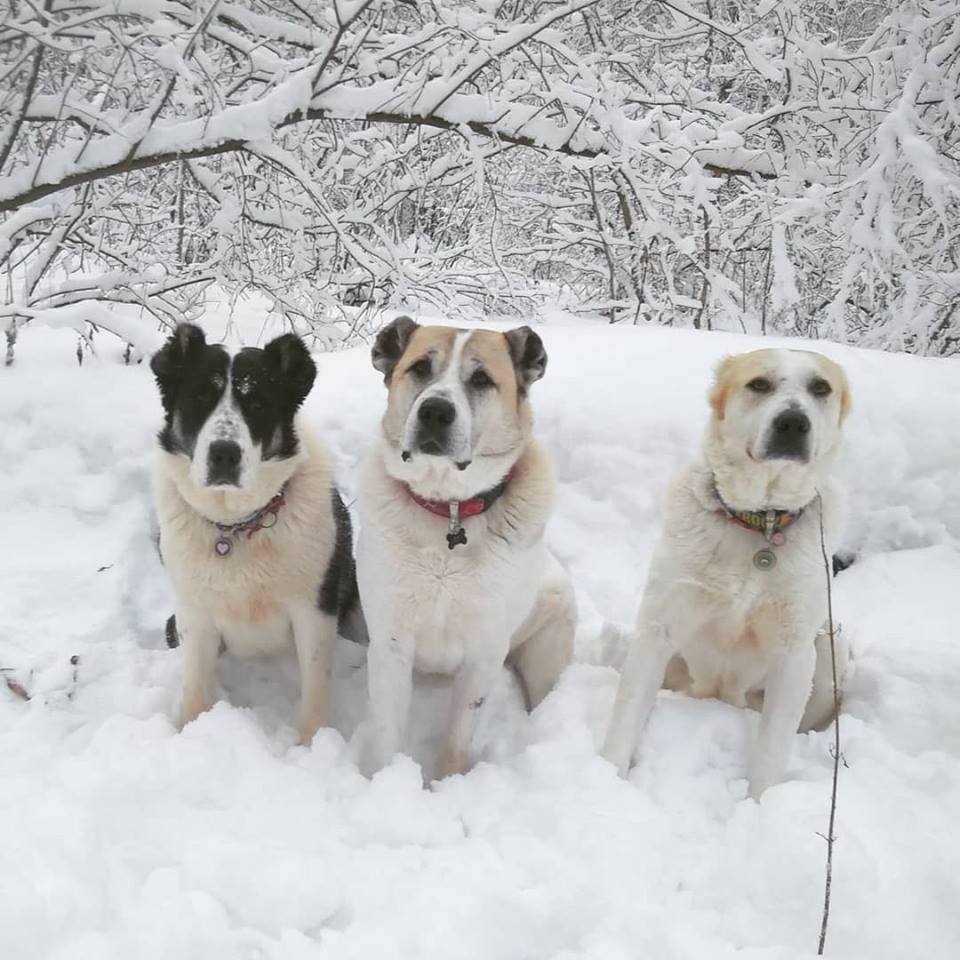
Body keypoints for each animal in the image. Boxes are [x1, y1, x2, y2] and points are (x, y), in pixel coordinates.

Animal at [150, 322, 360, 744]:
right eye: (200, 397)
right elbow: (194, 686)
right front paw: (189, 733)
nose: (224, 453)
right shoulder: (193, 614)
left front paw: (312, 748)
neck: (237, 525)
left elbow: (315, 691)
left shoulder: (314, 612)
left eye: (258, 403)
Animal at [354, 316, 572, 780]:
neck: (449, 509)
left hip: (547, 645)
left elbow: (458, 738)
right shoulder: (391, 643)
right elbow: (386, 733)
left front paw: (447, 783)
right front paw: (383, 781)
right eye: (420, 368)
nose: (435, 411)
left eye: (482, 379)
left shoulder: (483, 653)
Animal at [604, 348, 852, 800]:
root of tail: (721, 700)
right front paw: (605, 780)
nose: (793, 423)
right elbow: (625, 717)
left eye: (821, 388)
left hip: (830, 647)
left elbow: (771, 750)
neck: (761, 521)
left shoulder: (794, 653)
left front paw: (761, 806)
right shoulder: (658, 628)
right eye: (759, 384)